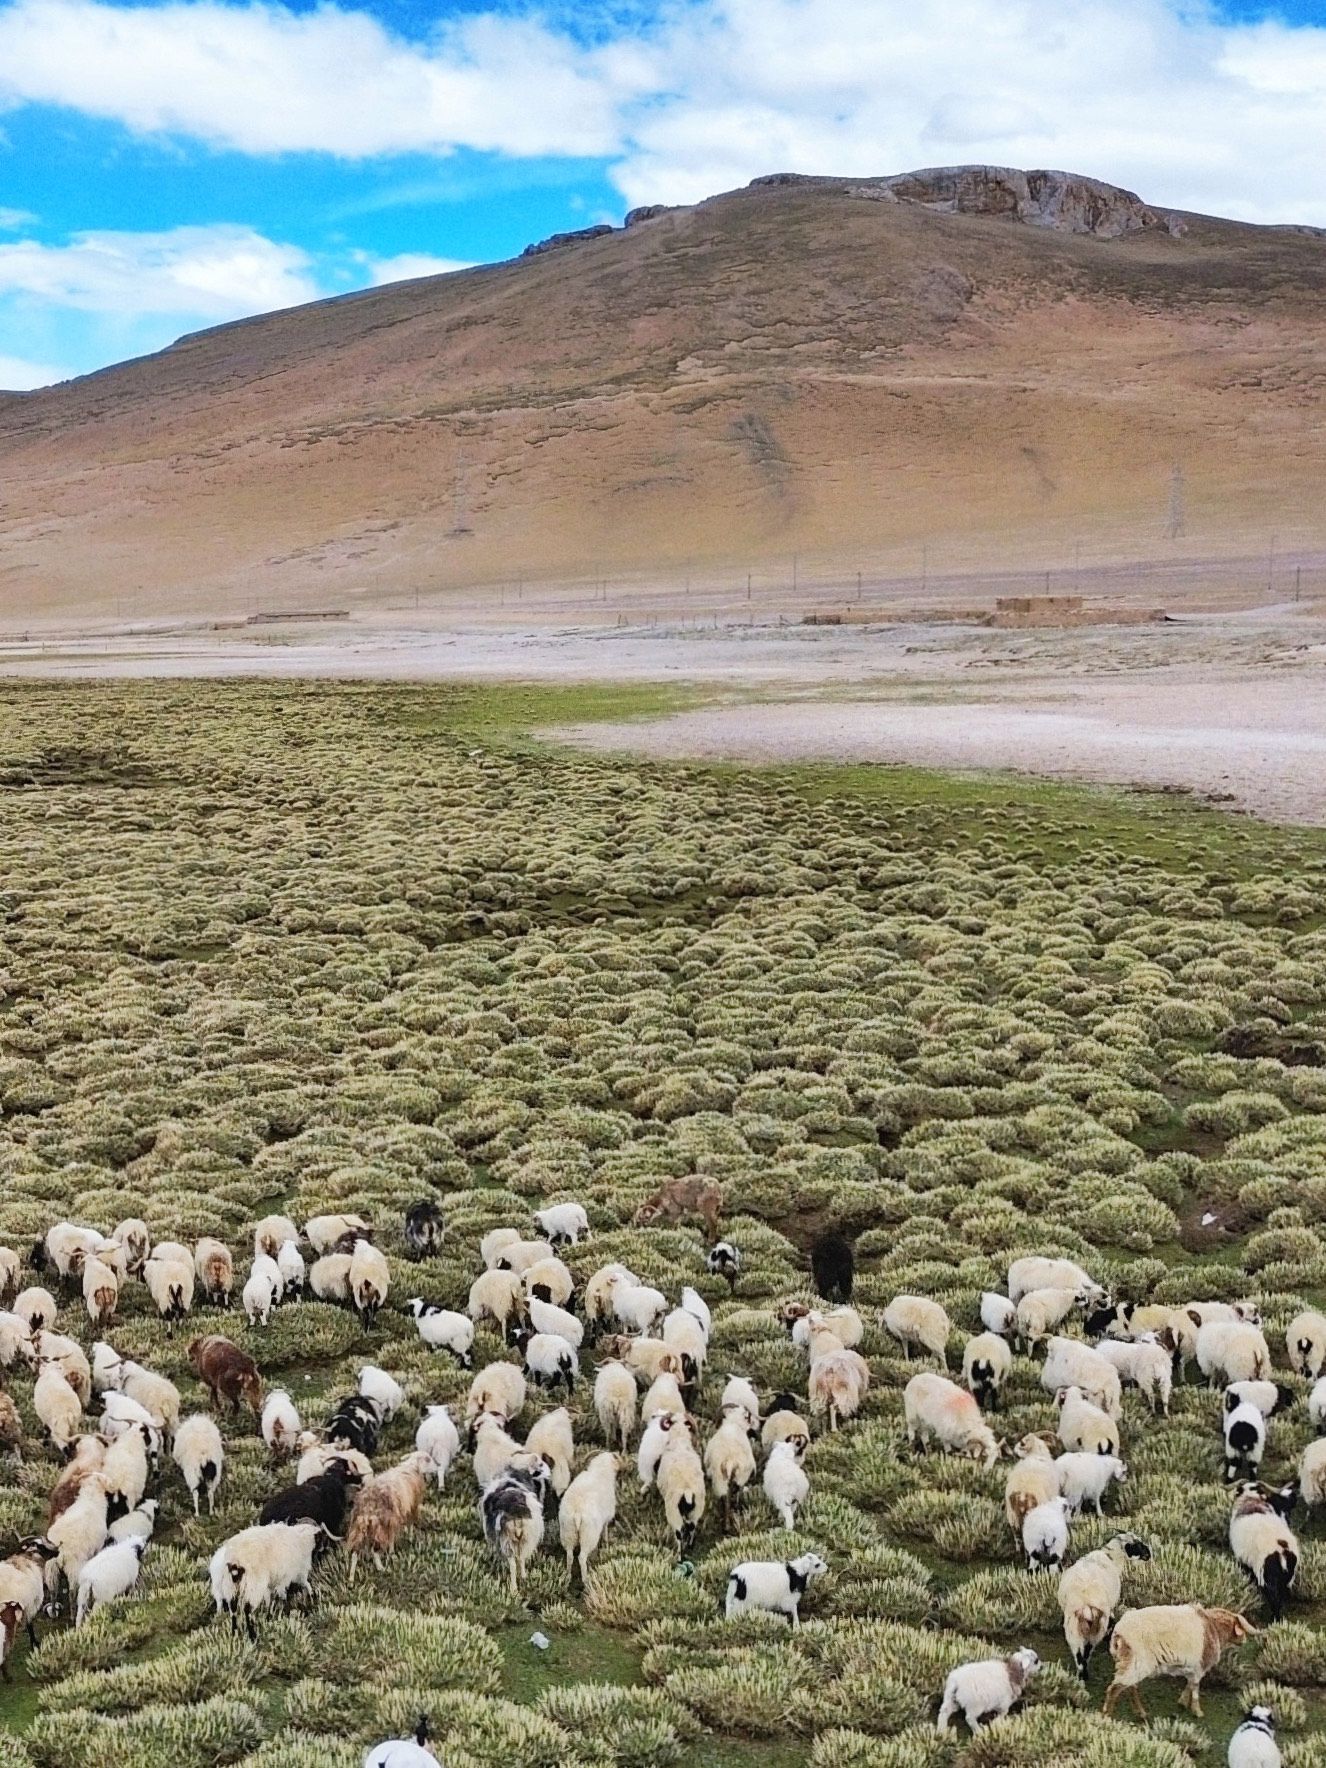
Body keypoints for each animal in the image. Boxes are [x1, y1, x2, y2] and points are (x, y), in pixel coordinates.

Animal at [559, 1449, 617, 1583]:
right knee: (581, 1557)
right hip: (588, 1535)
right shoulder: (606, 1519)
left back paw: (568, 1577)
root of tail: (577, 1512)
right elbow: (605, 1531)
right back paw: (585, 1579)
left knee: (569, 1556)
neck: (600, 1470)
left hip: (568, 1533)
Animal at [1058, 1532, 1152, 1679]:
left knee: (1078, 1652)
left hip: (1072, 1626)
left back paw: (1081, 1675)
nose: (1148, 1555)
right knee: (1087, 1650)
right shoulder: (1111, 1607)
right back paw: (1085, 1674)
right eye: (1138, 1545)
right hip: (1097, 1624)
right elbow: (1112, 1620)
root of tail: (1086, 1602)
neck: (1111, 1557)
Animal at [1104, 1604, 1257, 1718]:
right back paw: (1107, 1717)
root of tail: (1119, 1633)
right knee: (1115, 1688)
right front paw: (1197, 1711)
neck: (1213, 1628)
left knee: (1130, 1686)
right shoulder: (1200, 1666)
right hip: (1135, 1661)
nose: (1245, 1641)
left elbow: (1189, 1684)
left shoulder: (1193, 1668)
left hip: (1133, 1664)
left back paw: (1141, 1712)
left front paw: (1182, 1702)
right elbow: (1195, 1688)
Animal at [1230, 1484, 1299, 1621]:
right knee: (1282, 1597)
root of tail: (1281, 1549)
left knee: (1274, 1600)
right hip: (1287, 1578)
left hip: (1267, 1577)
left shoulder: (1242, 1562)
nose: (1294, 1494)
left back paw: (1274, 1620)